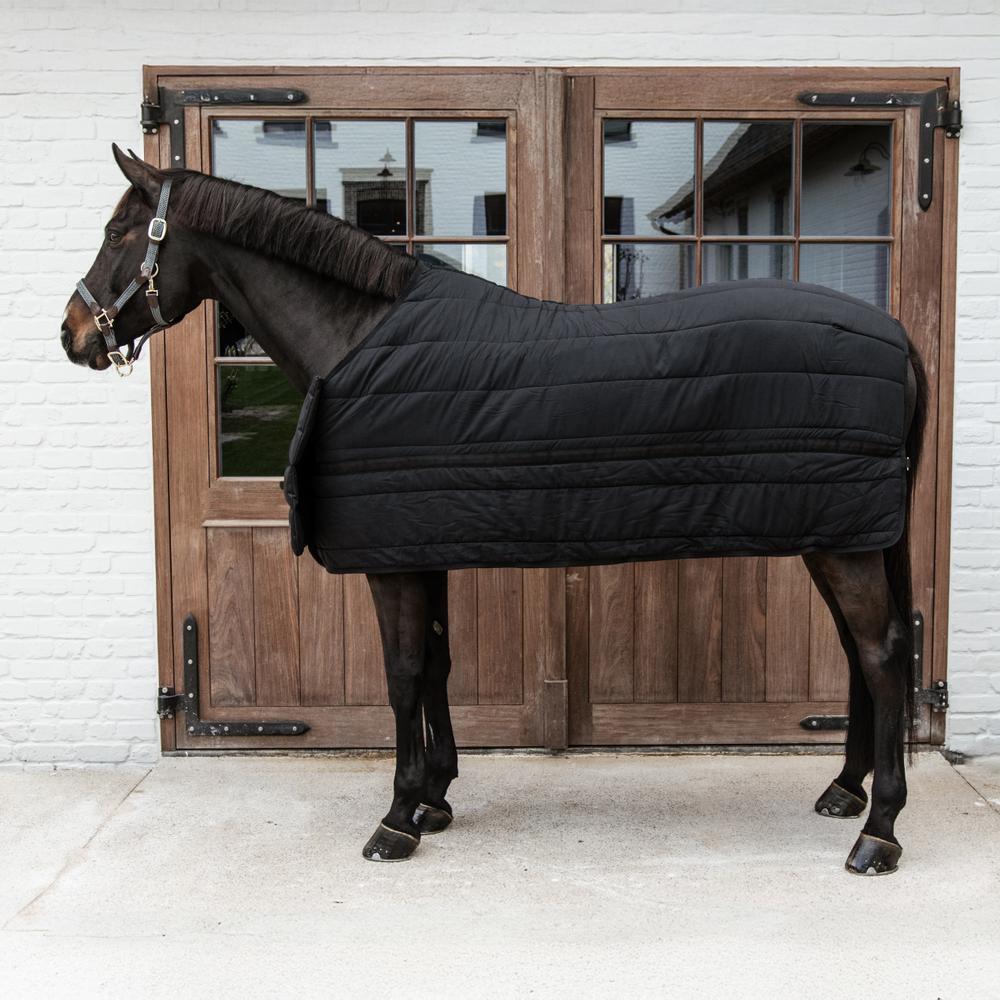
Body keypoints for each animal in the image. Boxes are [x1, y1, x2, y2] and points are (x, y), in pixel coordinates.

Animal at [61, 145, 927, 875]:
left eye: (118, 231)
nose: (72, 334)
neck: (358, 339)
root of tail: (897, 333)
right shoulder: (421, 545)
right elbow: (437, 664)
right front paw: (436, 798)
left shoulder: (392, 562)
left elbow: (403, 674)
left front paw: (397, 818)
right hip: (836, 534)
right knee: (858, 653)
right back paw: (844, 789)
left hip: (847, 541)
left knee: (883, 654)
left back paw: (879, 831)